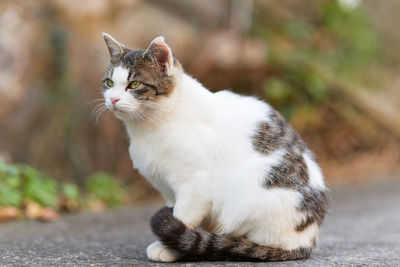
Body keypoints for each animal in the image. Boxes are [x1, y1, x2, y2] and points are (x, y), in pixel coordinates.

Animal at [100, 33, 328, 264]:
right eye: (109, 83)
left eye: (134, 84)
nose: (113, 99)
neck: (148, 128)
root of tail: (306, 242)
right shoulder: (167, 189)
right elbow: (179, 216)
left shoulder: (195, 186)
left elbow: (183, 216)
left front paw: (170, 248)